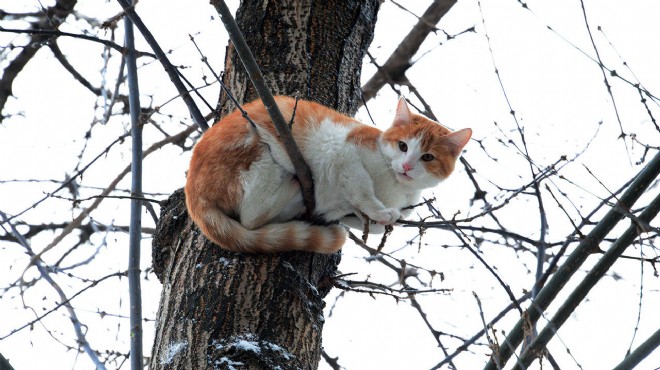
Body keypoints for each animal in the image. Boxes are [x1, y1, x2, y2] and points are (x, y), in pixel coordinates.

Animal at [183, 95, 472, 253]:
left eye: (427, 157)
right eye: (403, 146)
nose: (407, 166)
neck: (396, 189)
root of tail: (192, 190)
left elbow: (370, 222)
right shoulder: (344, 152)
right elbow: (362, 190)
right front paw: (379, 210)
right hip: (258, 148)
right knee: (251, 216)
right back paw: (294, 187)